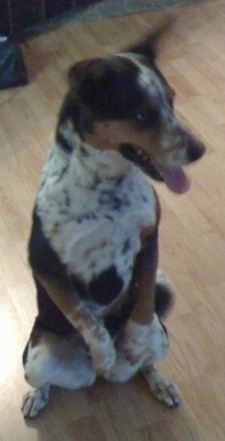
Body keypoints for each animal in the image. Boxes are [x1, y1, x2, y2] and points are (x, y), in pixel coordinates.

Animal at [22, 23, 205, 416]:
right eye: (142, 114)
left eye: (172, 101)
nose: (199, 150)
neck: (108, 186)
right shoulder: (45, 264)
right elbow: (82, 314)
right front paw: (105, 352)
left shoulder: (149, 238)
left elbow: (144, 300)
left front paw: (131, 345)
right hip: (37, 358)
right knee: (48, 377)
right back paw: (44, 392)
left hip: (162, 337)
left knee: (145, 359)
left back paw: (155, 379)